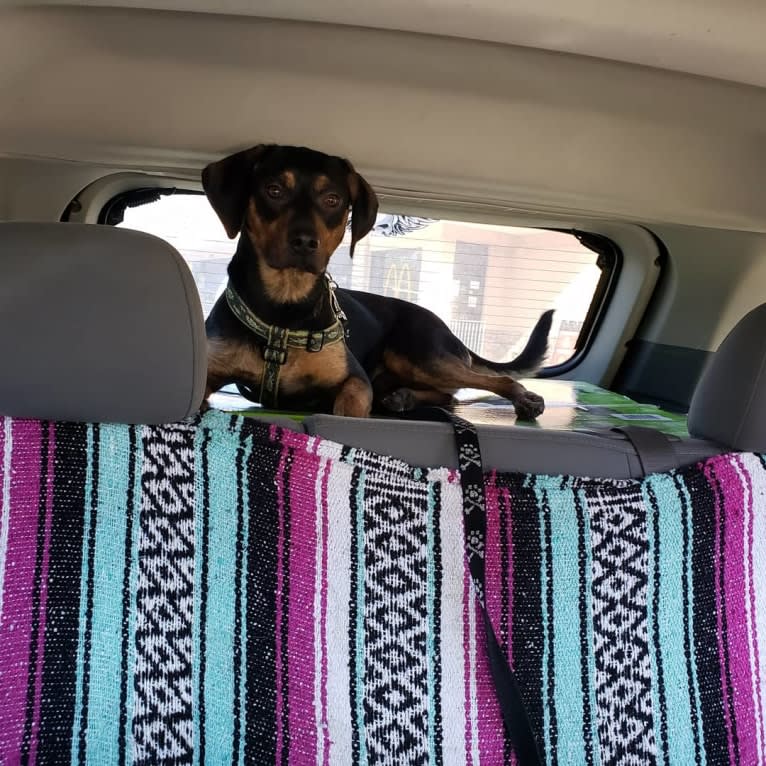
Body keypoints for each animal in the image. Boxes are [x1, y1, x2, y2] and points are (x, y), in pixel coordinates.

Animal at [201, 144, 556, 420]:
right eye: (273, 190)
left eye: (332, 200)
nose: (304, 242)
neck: (285, 306)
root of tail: (447, 329)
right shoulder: (204, 371)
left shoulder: (355, 379)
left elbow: (349, 407)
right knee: (448, 395)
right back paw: (404, 397)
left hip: (423, 355)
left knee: (491, 382)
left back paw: (525, 398)